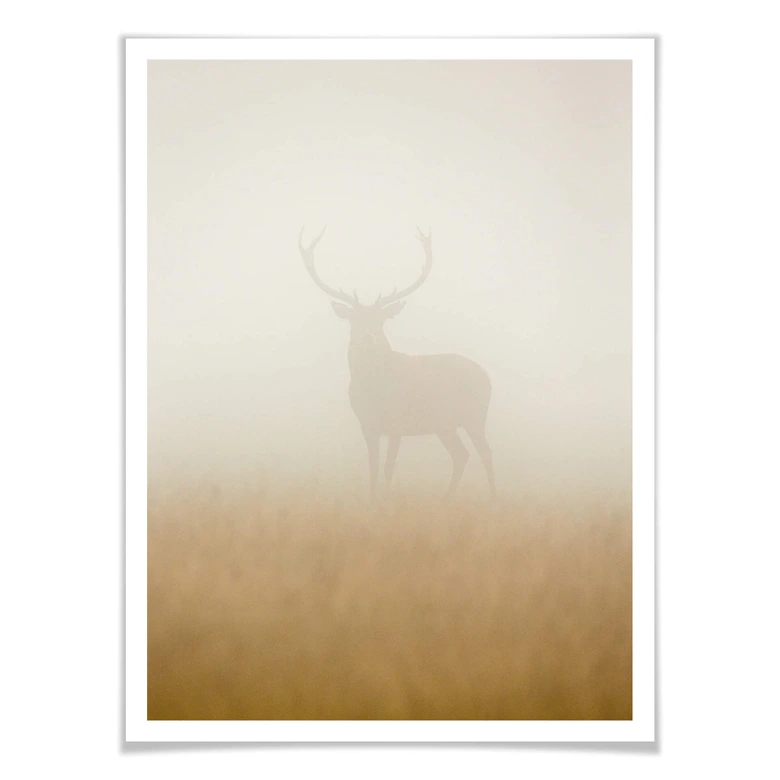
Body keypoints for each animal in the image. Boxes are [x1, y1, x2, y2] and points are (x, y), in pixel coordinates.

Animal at [298, 226, 496, 502]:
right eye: (354, 320)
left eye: (380, 321)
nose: (368, 337)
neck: (373, 389)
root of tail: (487, 376)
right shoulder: (367, 424)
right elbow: (372, 465)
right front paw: (372, 500)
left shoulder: (397, 422)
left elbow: (389, 465)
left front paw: (387, 501)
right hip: (445, 425)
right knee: (461, 454)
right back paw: (446, 499)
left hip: (475, 414)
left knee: (485, 453)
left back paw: (494, 498)